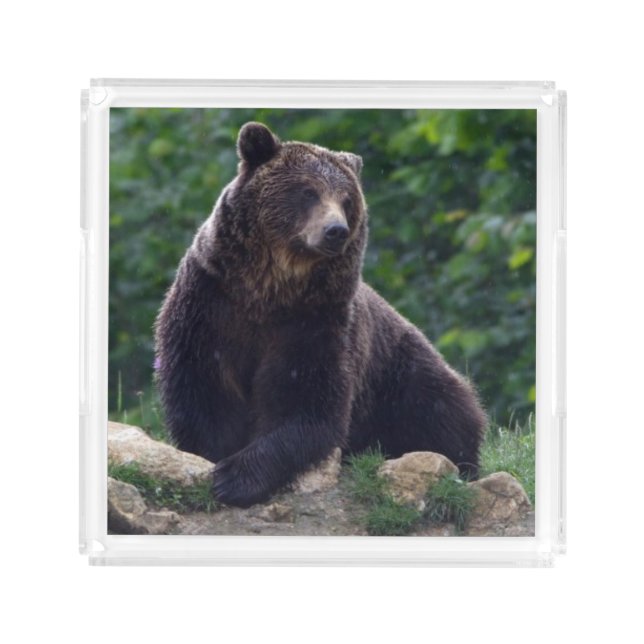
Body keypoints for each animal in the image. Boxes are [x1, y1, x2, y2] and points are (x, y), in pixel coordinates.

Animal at [154, 122, 486, 508]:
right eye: (308, 191)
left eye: (346, 200)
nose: (335, 230)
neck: (269, 288)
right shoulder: (210, 306)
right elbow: (203, 389)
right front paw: (215, 460)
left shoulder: (315, 321)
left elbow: (309, 402)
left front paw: (236, 477)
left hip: (402, 374)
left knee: (443, 413)